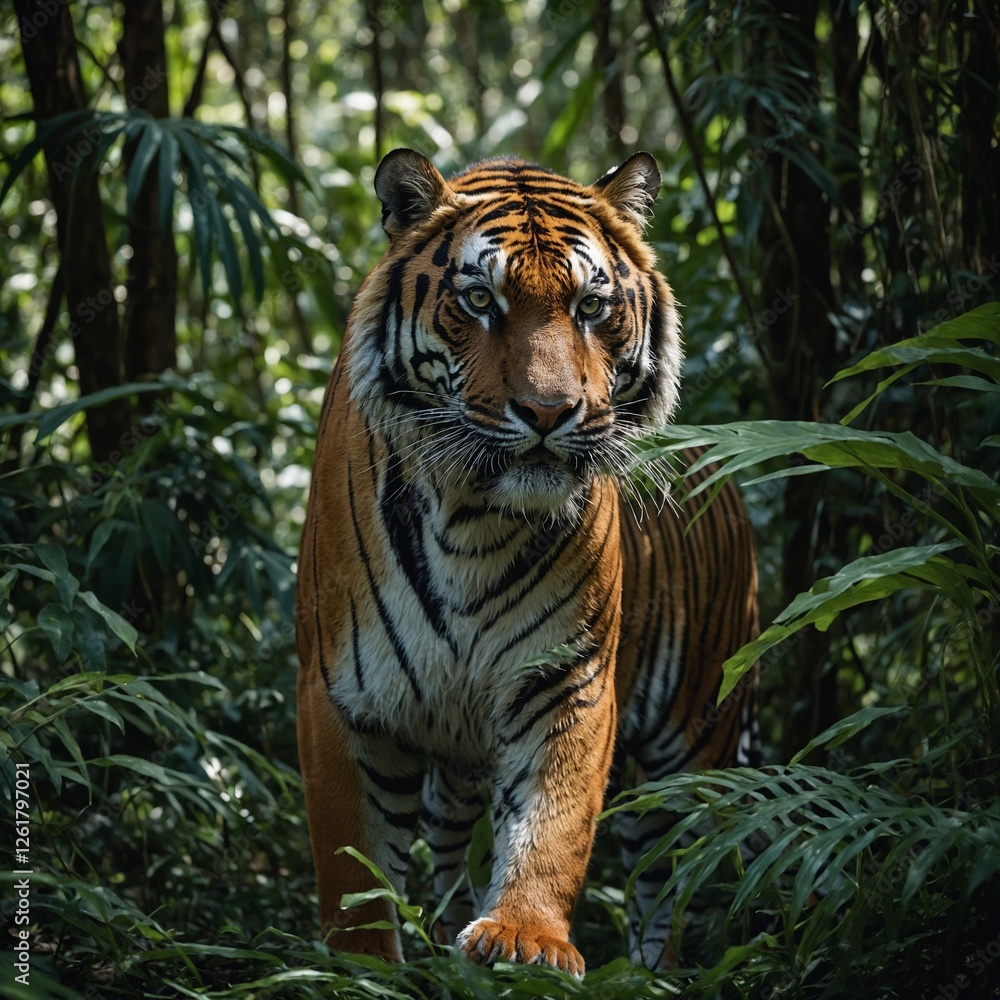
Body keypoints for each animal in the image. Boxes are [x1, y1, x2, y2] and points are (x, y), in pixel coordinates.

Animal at [295, 148, 759, 977]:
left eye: (590, 306)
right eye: (480, 299)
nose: (548, 413)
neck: (473, 516)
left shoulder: (564, 676)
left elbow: (554, 821)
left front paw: (524, 939)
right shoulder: (341, 694)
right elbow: (351, 862)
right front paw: (361, 967)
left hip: (695, 740)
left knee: (671, 876)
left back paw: (650, 976)